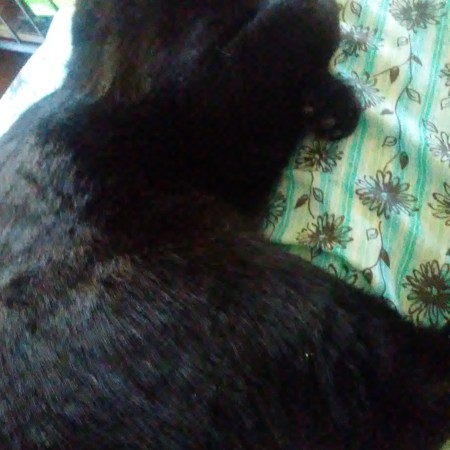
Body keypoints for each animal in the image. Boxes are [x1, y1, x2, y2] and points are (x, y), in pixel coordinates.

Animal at [0, 0, 448, 449]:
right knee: (408, 384)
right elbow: (276, 40)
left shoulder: (234, 169)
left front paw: (329, 102)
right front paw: (318, 30)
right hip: (287, 308)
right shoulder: (201, 103)